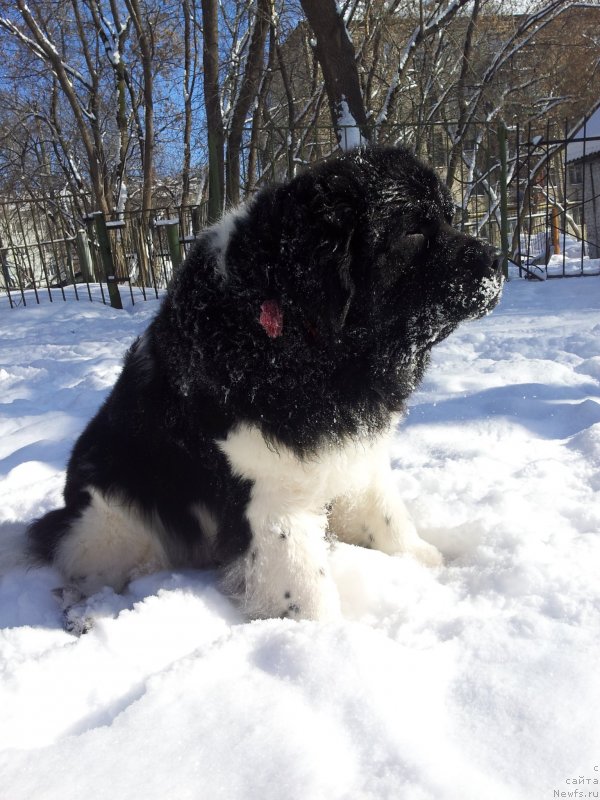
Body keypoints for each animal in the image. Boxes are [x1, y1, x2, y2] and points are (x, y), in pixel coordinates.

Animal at [30, 145, 504, 620]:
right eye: (412, 231)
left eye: (449, 217)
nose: (498, 259)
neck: (303, 337)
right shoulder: (267, 493)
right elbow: (304, 585)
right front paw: (323, 632)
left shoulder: (355, 456)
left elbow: (386, 516)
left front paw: (427, 563)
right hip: (113, 519)